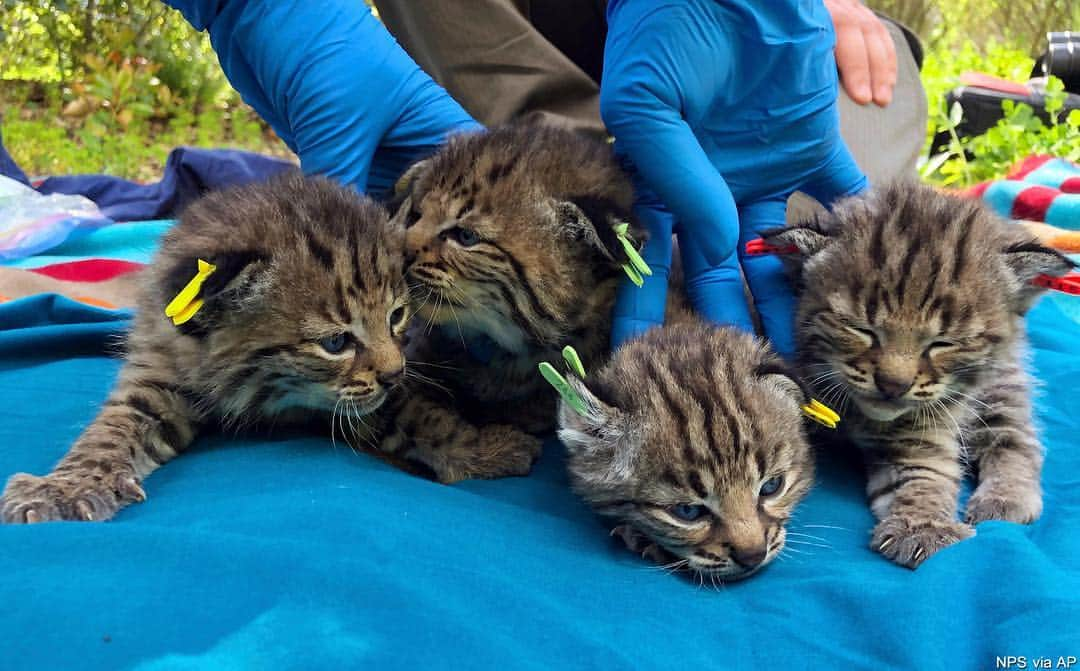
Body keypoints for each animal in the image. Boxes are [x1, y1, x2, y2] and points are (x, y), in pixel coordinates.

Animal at [1, 175, 408, 520]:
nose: (395, 375)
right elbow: (109, 432)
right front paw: (63, 490)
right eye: (335, 343)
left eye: (397, 317)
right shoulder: (157, 375)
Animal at [764, 181, 1075, 566]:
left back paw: (1005, 498)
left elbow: (930, 470)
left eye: (943, 343)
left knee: (1016, 436)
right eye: (861, 330)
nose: (892, 385)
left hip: (1003, 381)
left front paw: (923, 525)